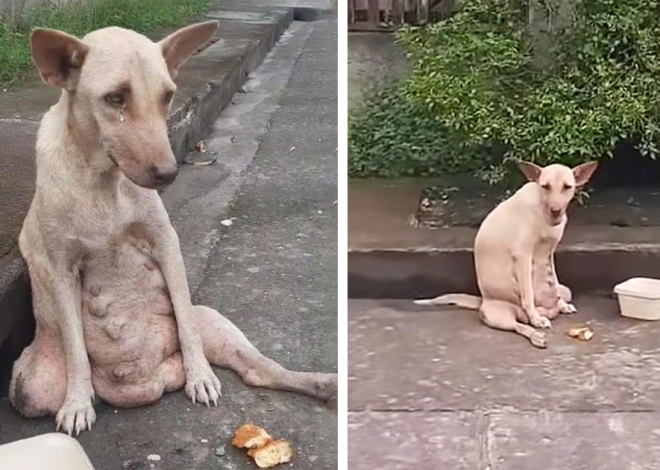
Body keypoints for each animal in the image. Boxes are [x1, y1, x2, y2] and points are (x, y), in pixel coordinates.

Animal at [418, 162, 600, 348]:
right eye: (545, 186)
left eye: (567, 187)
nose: (555, 211)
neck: (542, 211)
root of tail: (482, 300)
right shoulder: (523, 257)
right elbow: (528, 294)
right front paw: (536, 318)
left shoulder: (550, 254)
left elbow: (554, 281)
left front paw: (562, 304)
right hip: (501, 316)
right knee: (519, 326)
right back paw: (536, 331)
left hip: (564, 290)